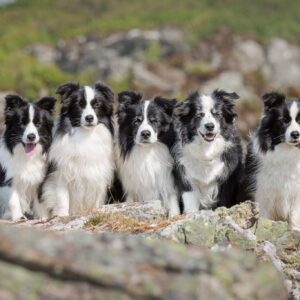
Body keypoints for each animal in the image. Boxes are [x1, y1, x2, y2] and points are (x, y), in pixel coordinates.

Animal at [38, 81, 115, 217]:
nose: (89, 118)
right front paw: (62, 215)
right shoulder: (62, 173)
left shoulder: (99, 174)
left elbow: (97, 198)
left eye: (97, 104)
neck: (86, 134)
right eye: (79, 105)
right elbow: (62, 198)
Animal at [243, 92, 300, 231]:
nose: (295, 134)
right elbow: (263, 214)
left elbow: (295, 214)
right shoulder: (262, 190)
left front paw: (295, 230)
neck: (287, 151)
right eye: (284, 120)